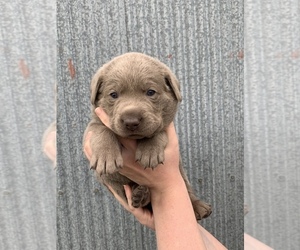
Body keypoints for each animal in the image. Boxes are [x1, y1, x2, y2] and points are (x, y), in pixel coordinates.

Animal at [83, 51, 212, 220]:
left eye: (150, 92)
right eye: (113, 94)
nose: (131, 121)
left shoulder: (166, 126)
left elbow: (157, 131)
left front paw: (149, 152)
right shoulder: (92, 125)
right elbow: (103, 130)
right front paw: (106, 157)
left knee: (187, 189)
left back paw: (198, 206)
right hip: (115, 184)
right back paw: (141, 195)